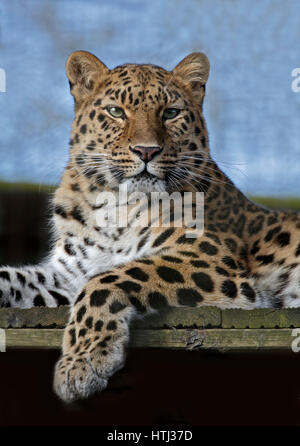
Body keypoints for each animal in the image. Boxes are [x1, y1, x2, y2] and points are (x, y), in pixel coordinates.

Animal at [0, 50, 300, 402]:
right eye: (116, 111)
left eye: (170, 113)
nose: (146, 151)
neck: (113, 206)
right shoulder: (68, 276)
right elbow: (18, 279)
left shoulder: (208, 258)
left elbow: (106, 281)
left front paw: (81, 363)